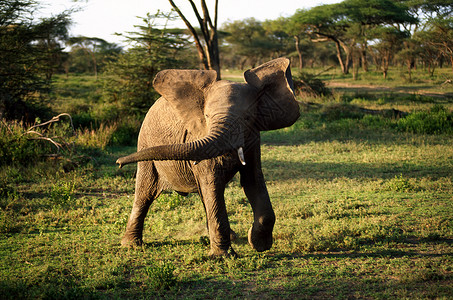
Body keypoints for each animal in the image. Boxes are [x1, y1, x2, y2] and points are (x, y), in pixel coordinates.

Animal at [115, 57, 300, 256]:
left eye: (247, 118)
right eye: (207, 116)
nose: (118, 163)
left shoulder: (253, 137)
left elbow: (252, 179)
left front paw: (258, 244)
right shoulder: (199, 134)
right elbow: (212, 182)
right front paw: (223, 257)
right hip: (145, 143)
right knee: (144, 193)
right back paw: (131, 245)